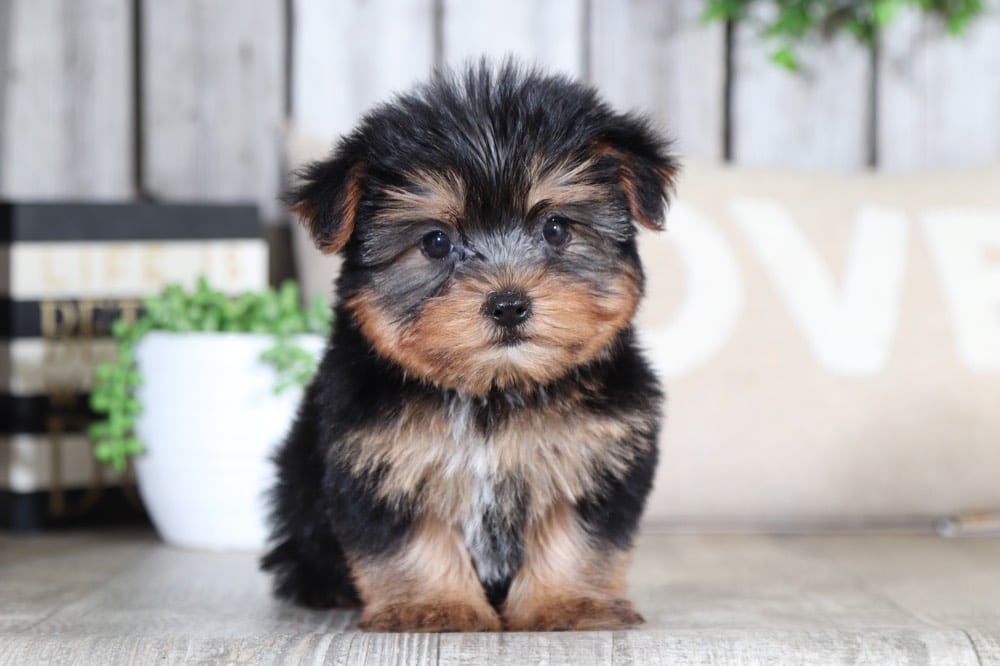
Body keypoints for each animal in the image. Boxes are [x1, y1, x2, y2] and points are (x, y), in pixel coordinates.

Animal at [262, 59, 676, 632]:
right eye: (437, 241)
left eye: (555, 228)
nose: (508, 305)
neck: (493, 389)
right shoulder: (377, 459)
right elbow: (411, 539)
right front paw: (430, 606)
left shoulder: (598, 450)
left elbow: (578, 534)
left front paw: (570, 602)